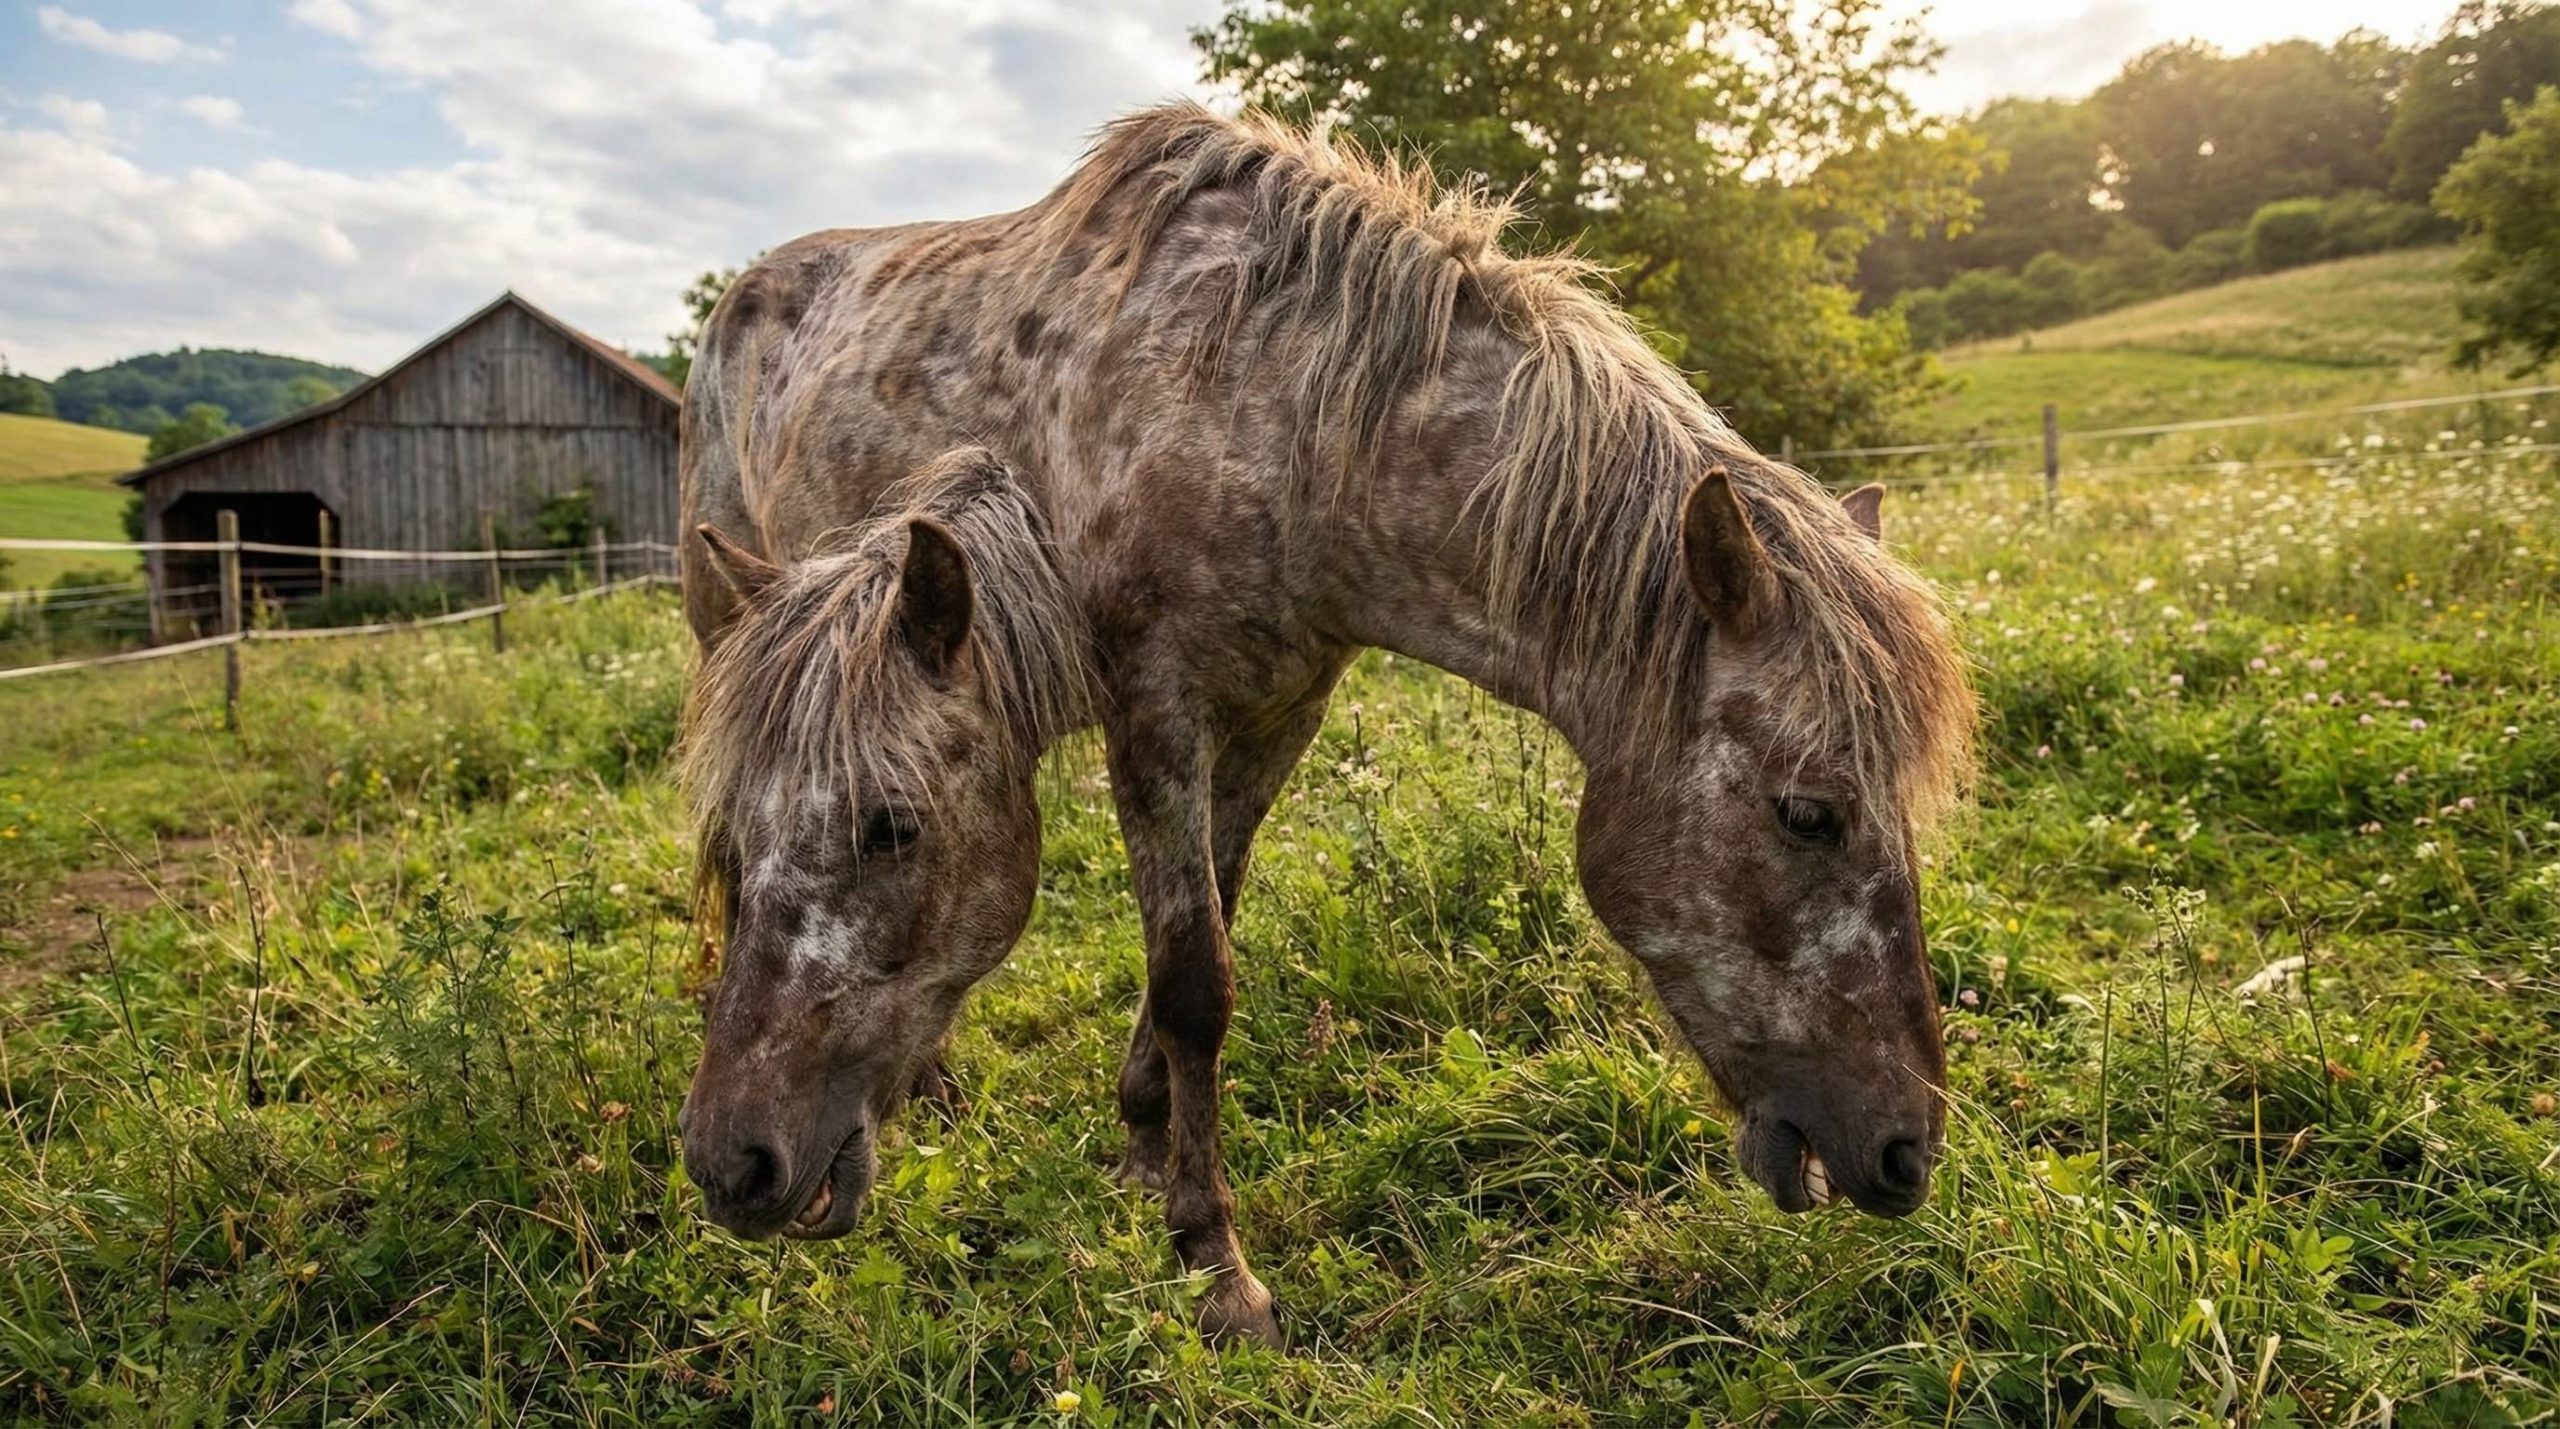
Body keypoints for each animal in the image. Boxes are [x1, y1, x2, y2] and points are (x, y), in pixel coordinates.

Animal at [676, 103, 1976, 1346]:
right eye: (1808, 813)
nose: (1903, 1150)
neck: (1274, 406)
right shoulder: (1158, 711)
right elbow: (1194, 978)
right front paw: (1213, 1263)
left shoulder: (1276, 715)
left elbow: (1207, 926)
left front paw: (1144, 1150)